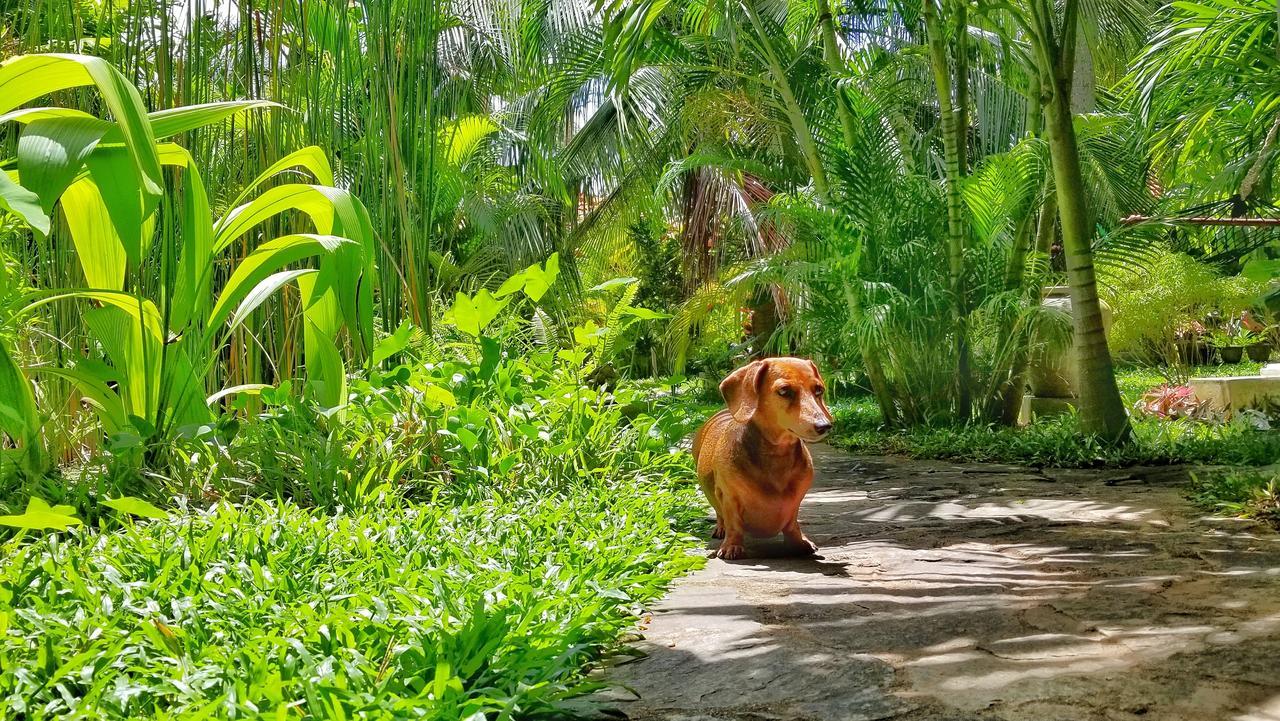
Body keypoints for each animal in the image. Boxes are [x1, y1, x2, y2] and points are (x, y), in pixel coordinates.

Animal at [696, 358, 834, 560]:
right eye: (784, 391)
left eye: (819, 390)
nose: (824, 426)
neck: (776, 456)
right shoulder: (729, 496)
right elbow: (733, 522)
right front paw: (732, 545)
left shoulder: (796, 500)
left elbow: (792, 523)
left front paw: (799, 542)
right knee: (720, 515)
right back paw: (721, 529)